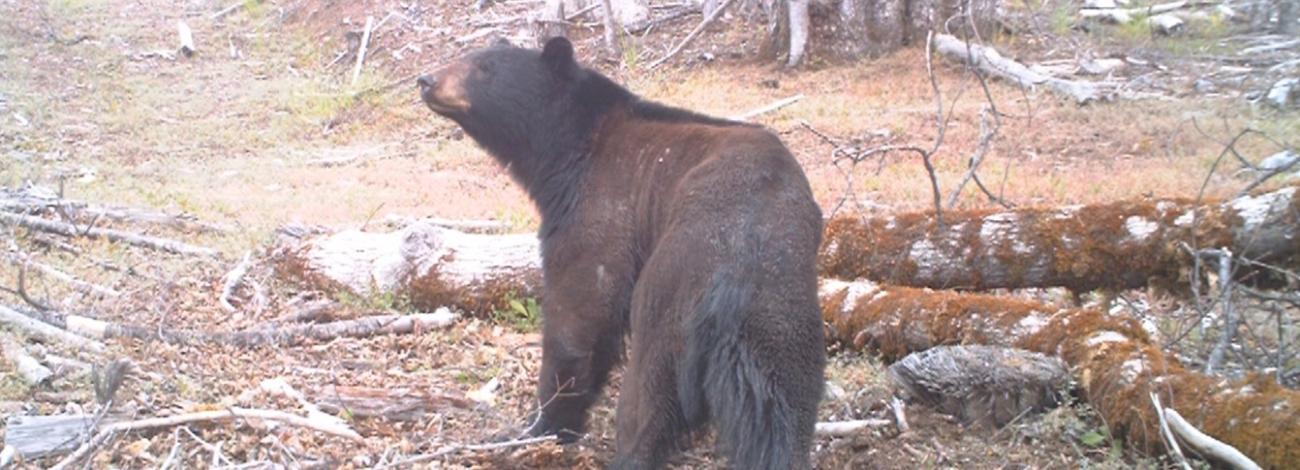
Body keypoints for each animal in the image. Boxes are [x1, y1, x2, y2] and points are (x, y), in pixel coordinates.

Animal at [417, 37, 826, 470]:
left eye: (484, 67)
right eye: (470, 57)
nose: (426, 80)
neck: (570, 148)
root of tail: (733, 270)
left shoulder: (602, 205)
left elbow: (580, 309)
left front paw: (542, 424)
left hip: (670, 295)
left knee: (648, 393)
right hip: (780, 314)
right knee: (783, 407)